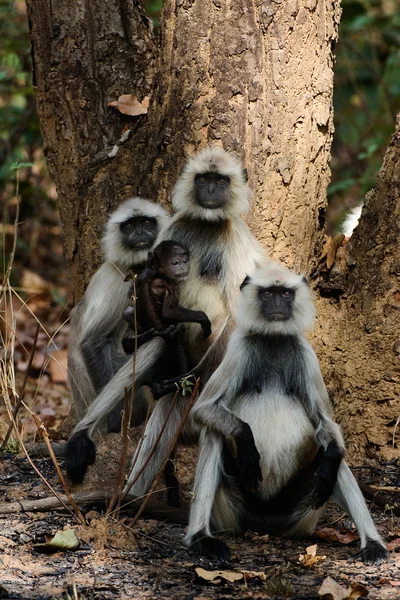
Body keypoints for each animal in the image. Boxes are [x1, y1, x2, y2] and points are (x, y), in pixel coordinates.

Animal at [123, 146, 264, 502]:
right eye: (203, 179)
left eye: (219, 180)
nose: (210, 190)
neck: (206, 223)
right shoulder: (176, 227)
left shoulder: (235, 235)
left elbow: (239, 313)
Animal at [185, 262, 390, 568]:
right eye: (268, 293)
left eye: (285, 293)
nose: (278, 304)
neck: (274, 338)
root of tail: (263, 526)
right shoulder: (240, 347)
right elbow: (203, 411)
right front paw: (246, 439)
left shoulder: (305, 354)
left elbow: (325, 425)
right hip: (231, 513)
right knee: (214, 432)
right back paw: (200, 538)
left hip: (300, 517)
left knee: (332, 453)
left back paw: (373, 543)